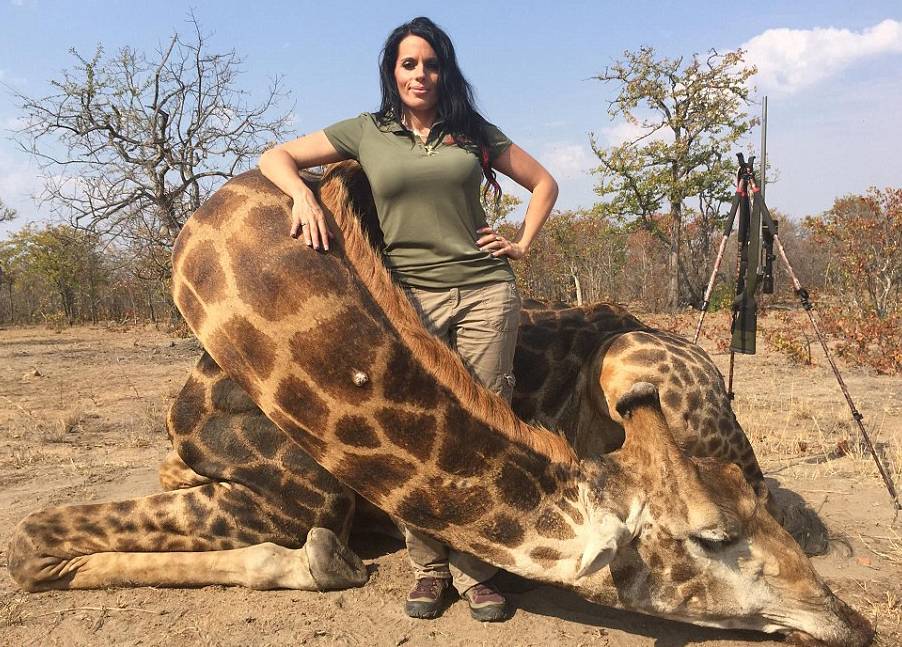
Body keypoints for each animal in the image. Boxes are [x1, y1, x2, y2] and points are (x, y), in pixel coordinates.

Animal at [5, 163, 868, 647]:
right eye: (714, 537)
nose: (850, 622)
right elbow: (31, 538)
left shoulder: (293, 495)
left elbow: (30, 540)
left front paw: (323, 557)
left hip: (636, 361)